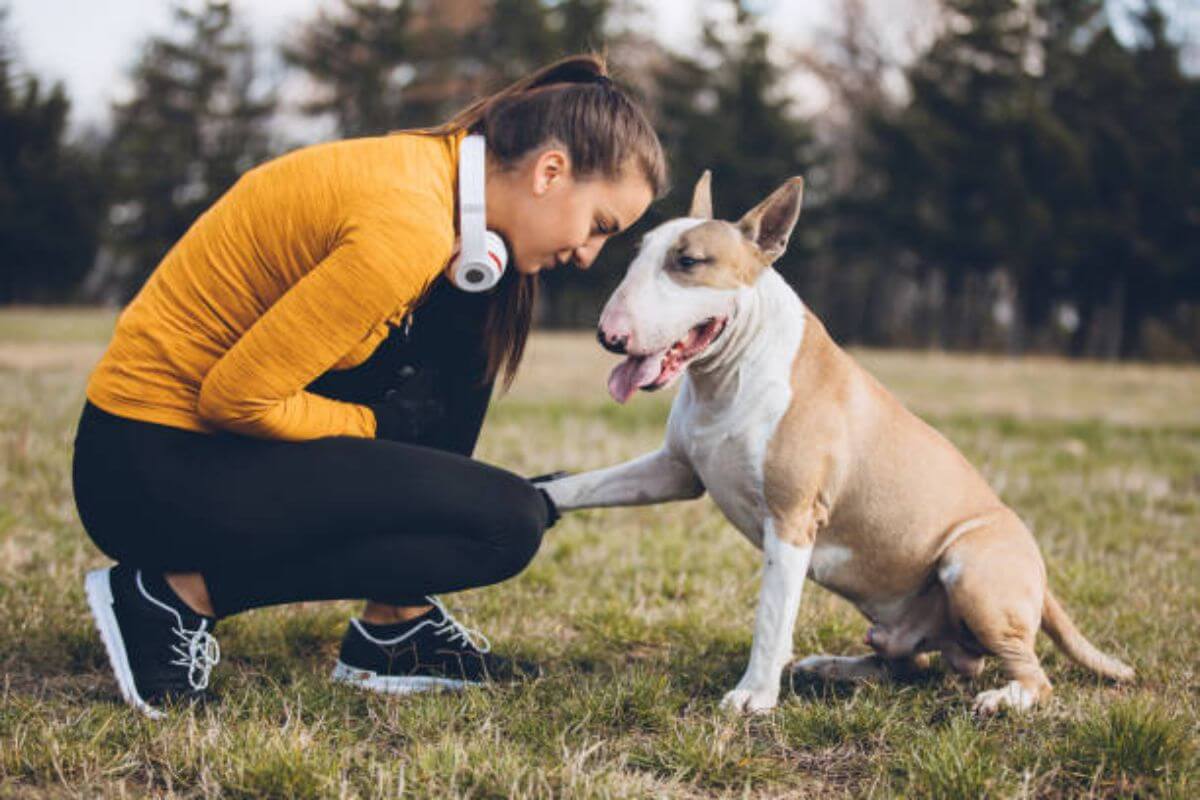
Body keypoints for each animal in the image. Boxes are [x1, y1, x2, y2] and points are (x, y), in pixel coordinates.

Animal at [544, 173, 1132, 714]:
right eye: (637, 252)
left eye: (689, 262)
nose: (608, 336)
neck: (730, 372)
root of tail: (1043, 581)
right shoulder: (675, 470)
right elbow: (586, 486)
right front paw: (542, 495)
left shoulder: (791, 519)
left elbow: (771, 617)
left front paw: (754, 696)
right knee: (910, 663)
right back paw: (833, 667)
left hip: (971, 567)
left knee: (1031, 674)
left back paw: (1003, 698)